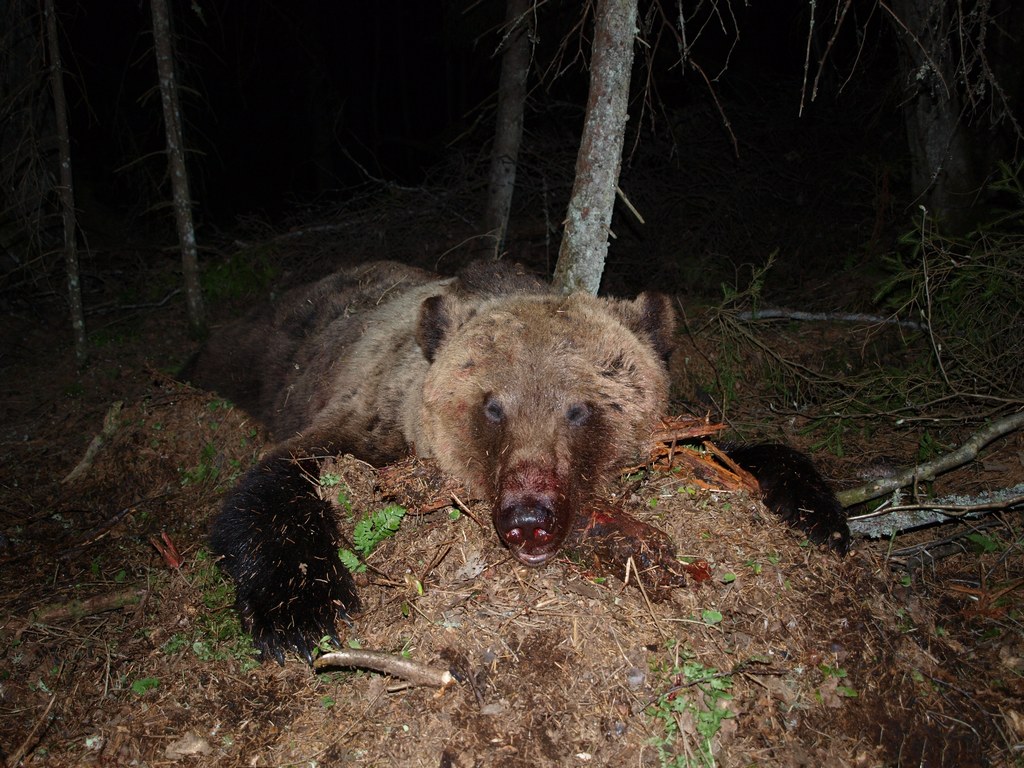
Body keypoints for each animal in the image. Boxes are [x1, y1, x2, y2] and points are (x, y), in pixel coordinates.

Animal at [186, 262, 847, 663]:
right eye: (492, 405)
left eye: (580, 408)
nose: (530, 517)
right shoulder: (371, 416)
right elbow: (273, 480)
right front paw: (301, 610)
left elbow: (719, 450)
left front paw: (819, 513)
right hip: (275, 346)